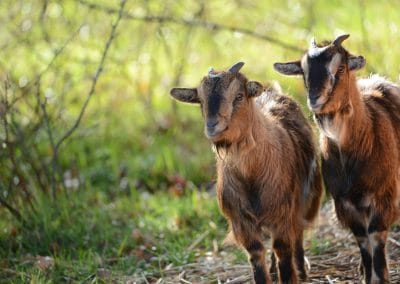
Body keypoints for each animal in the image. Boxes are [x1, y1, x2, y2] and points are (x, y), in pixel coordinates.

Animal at [169, 62, 322, 284]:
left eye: (239, 96)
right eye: (200, 101)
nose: (212, 126)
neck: (252, 175)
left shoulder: (283, 210)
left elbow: (284, 249)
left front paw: (291, 275)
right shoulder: (241, 220)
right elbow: (256, 253)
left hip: (306, 199)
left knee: (298, 233)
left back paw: (301, 270)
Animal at [276, 34, 400, 282]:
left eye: (340, 68)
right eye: (303, 72)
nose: (315, 99)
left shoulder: (384, 194)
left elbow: (376, 237)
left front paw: (380, 276)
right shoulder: (344, 202)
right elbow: (363, 240)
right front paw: (367, 275)